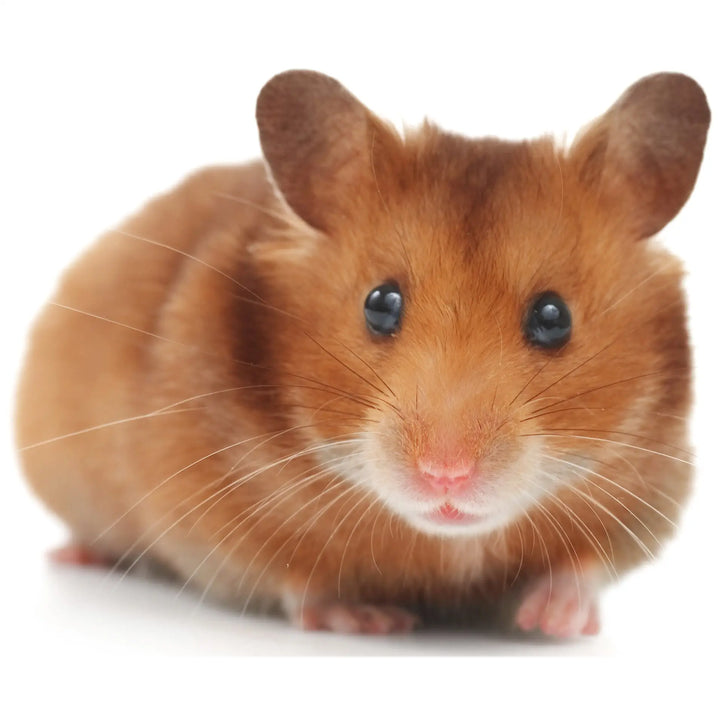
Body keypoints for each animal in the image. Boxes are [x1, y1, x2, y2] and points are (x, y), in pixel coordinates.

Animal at [15, 70, 710, 637]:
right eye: (379, 304)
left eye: (553, 317)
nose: (446, 475)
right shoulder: (213, 514)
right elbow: (299, 578)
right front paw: (373, 618)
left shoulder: (652, 491)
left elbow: (586, 564)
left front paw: (556, 622)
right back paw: (75, 554)